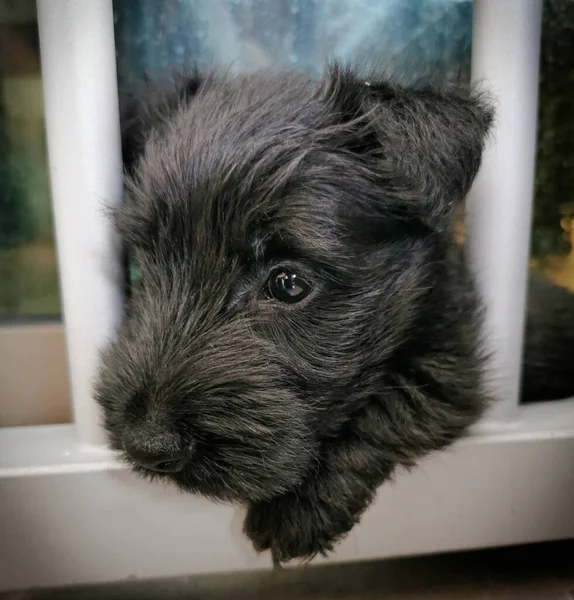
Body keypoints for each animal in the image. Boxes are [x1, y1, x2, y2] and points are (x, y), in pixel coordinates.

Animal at [94, 64, 574, 564]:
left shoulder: (453, 366)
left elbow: (395, 398)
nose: (146, 445)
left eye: (288, 284)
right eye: (141, 266)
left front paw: (298, 508)